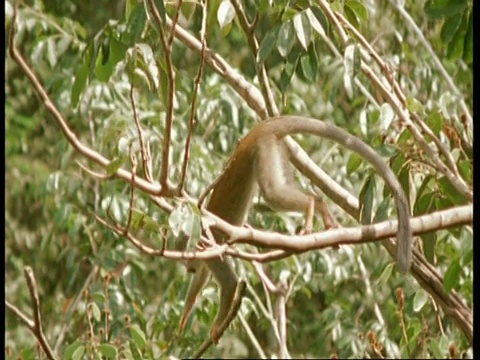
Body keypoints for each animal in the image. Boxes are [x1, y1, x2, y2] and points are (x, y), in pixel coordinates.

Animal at [178, 115, 410, 344]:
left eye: (187, 260)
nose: (188, 268)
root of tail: (257, 130)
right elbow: (202, 279)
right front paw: (186, 312)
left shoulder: (210, 252)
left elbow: (230, 284)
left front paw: (216, 326)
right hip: (276, 149)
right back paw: (320, 206)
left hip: (263, 148)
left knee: (272, 193)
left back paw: (310, 205)